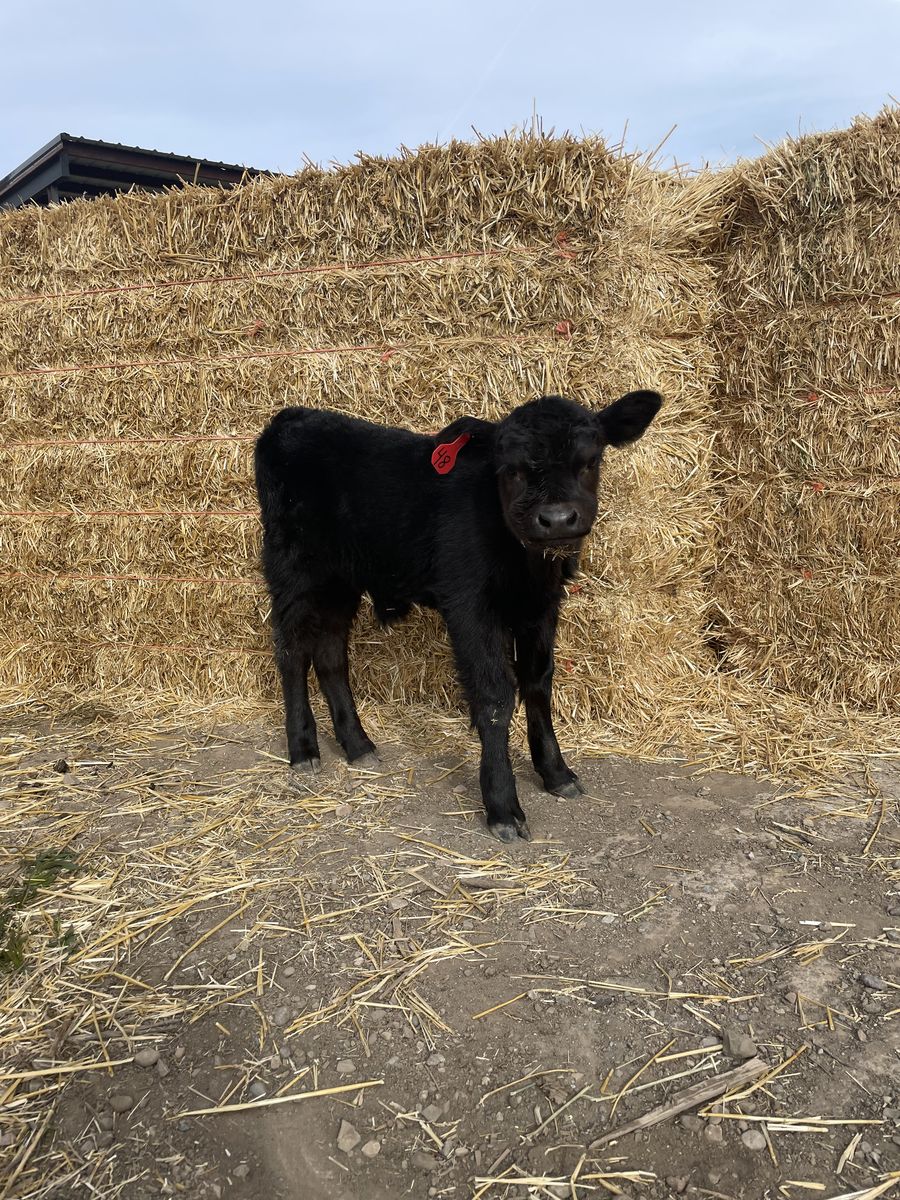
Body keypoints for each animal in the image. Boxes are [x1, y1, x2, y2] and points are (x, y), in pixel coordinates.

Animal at [254, 391, 662, 842]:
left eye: (589, 461)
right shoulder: (470, 607)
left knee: (329, 655)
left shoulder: (541, 607)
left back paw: (358, 745)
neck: (525, 565)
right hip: (294, 569)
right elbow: (495, 696)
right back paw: (303, 749)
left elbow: (538, 683)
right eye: (511, 469)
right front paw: (503, 806)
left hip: (342, 579)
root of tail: (292, 416)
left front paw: (556, 773)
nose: (556, 519)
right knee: (291, 652)